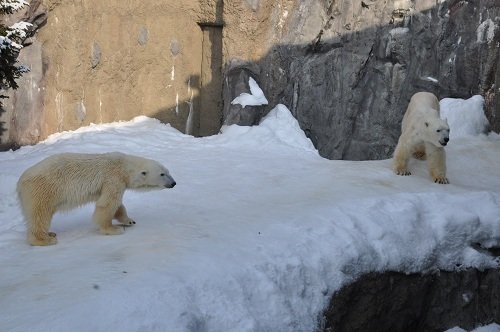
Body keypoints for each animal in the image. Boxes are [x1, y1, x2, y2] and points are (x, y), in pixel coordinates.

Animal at [16, 152, 177, 245]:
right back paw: (45, 239)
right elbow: (107, 204)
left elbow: (117, 204)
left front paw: (129, 220)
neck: (124, 166)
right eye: (162, 174)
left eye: (168, 171)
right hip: (42, 190)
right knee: (40, 214)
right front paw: (114, 229)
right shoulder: (113, 178)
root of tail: (20, 182)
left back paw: (50, 233)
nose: (174, 183)